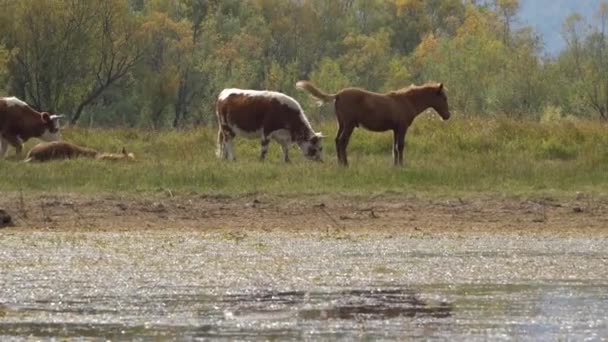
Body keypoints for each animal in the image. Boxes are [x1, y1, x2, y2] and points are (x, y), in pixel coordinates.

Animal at [296, 80, 448, 166]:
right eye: (444, 98)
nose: (447, 116)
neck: (406, 101)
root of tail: (338, 95)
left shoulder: (395, 129)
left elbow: (394, 147)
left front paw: (396, 165)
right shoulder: (402, 128)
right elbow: (400, 146)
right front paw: (401, 165)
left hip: (342, 124)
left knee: (337, 140)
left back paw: (340, 163)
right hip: (349, 124)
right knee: (342, 141)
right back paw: (345, 164)